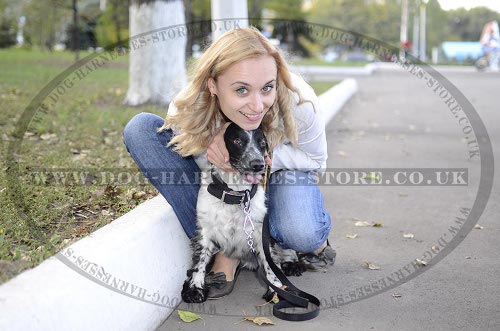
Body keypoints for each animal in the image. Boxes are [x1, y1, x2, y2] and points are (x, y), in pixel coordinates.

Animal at [182, 124, 298, 304]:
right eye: (237, 141)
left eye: (262, 143)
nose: (258, 164)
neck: (236, 194)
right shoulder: (204, 230)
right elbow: (199, 260)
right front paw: (195, 288)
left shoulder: (261, 233)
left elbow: (270, 262)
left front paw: (276, 290)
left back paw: (291, 264)